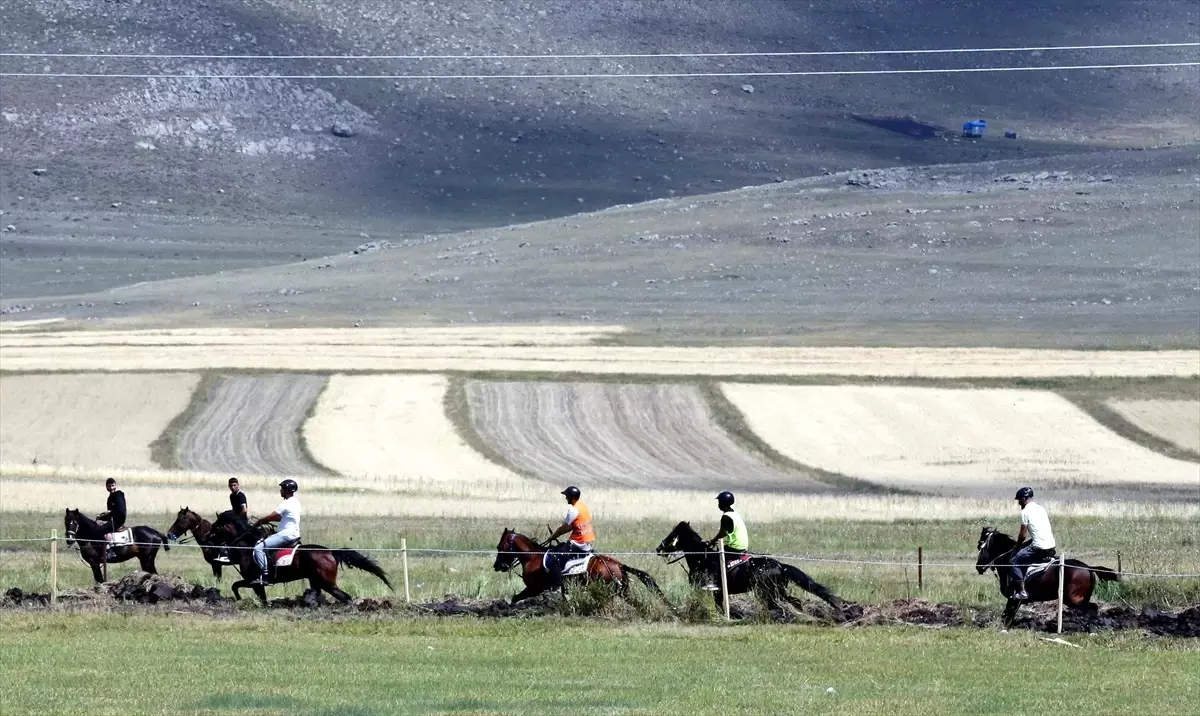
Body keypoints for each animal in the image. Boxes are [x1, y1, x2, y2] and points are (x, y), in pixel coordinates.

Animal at [223, 522, 391, 606]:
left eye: (218, 527)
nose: (222, 549)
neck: (248, 547)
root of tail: (331, 552)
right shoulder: (255, 583)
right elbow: (247, 591)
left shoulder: (254, 581)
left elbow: (236, 586)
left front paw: (239, 600)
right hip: (316, 581)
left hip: (327, 583)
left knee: (345, 596)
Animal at [492, 525, 672, 602]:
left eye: (500, 547)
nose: (497, 566)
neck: (533, 557)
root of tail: (619, 565)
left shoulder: (535, 588)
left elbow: (515, 599)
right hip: (623, 591)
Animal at [657, 520, 844, 614]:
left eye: (672, 535)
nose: (659, 549)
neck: (703, 558)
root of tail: (781, 565)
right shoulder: (717, 593)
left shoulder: (710, 590)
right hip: (778, 591)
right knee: (794, 602)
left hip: (768, 592)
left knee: (778, 606)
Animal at [969, 525, 1118, 623]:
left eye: (980, 546)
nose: (978, 566)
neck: (1007, 560)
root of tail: (1088, 567)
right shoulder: (1015, 601)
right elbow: (1007, 616)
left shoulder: (1014, 598)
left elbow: (1006, 616)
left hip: (1073, 599)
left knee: (1093, 608)